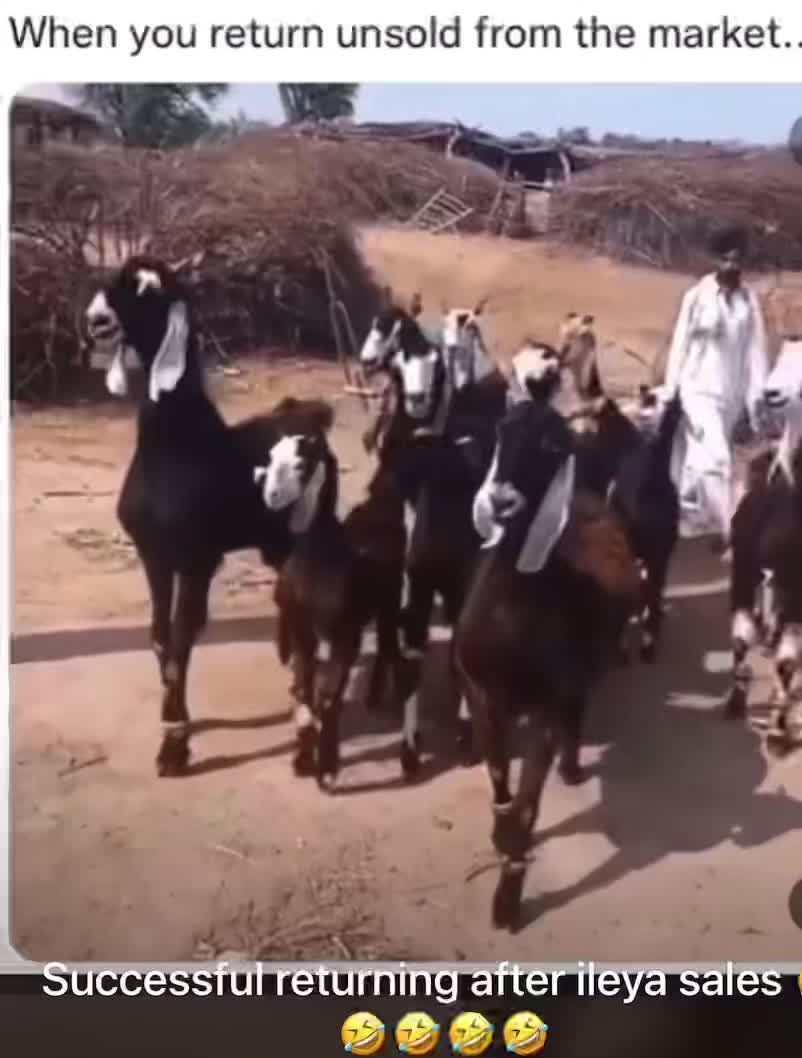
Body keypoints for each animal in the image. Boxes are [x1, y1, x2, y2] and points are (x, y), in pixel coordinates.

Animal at [84, 254, 332, 776]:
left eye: (146, 290)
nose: (96, 320)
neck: (178, 447)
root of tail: (312, 417)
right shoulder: (154, 555)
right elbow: (160, 638)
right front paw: (173, 720)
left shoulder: (197, 558)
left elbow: (182, 639)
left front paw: (174, 745)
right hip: (274, 546)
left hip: (305, 537)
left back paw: (306, 731)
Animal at [254, 420, 412, 788]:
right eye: (271, 455)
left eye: (302, 464)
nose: (271, 496)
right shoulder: (302, 632)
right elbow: (304, 689)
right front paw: (302, 760)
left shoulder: (344, 637)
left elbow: (328, 697)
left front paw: (326, 768)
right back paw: (374, 698)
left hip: (388, 607)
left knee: (393, 653)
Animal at [454, 344, 642, 930]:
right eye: (501, 429)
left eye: (553, 443)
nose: (502, 501)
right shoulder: (481, 693)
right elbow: (500, 784)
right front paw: (500, 840)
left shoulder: (544, 701)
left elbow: (528, 806)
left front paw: (508, 902)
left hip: (580, 671)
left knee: (577, 708)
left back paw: (573, 765)